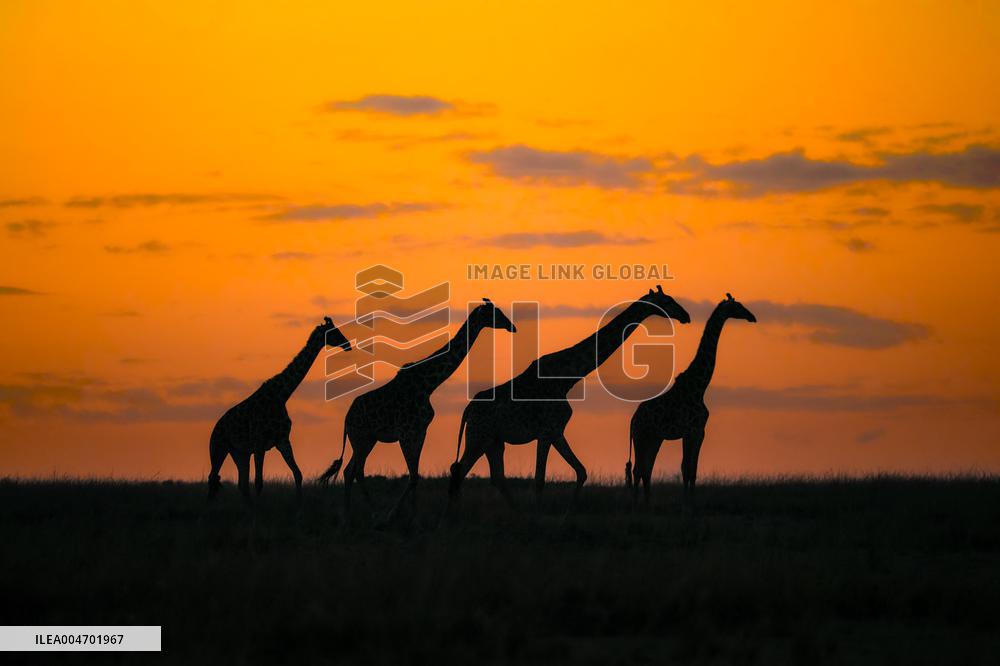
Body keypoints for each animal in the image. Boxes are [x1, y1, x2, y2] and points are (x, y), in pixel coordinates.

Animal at [208, 316, 351, 501]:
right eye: (333, 332)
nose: (348, 345)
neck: (281, 396)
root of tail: (215, 429)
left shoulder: (282, 440)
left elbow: (298, 474)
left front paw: (299, 504)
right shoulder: (259, 443)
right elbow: (259, 482)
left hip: (239, 452)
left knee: (241, 484)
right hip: (219, 447)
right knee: (213, 478)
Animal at [318, 299, 516, 519]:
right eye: (494, 313)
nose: (512, 326)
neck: (428, 385)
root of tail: (346, 418)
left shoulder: (420, 431)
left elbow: (416, 475)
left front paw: (414, 517)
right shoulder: (407, 433)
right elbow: (413, 476)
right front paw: (394, 516)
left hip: (367, 439)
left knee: (350, 470)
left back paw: (352, 515)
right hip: (360, 438)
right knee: (356, 471)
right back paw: (370, 515)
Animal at [448, 286, 691, 507]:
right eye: (667, 301)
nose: (686, 316)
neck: (566, 378)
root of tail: (468, 410)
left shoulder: (556, 431)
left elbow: (581, 471)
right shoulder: (547, 431)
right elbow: (540, 479)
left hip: (494, 441)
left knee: (494, 477)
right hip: (478, 437)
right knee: (460, 471)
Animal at [627, 293, 756, 507]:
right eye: (737, 306)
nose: (752, 317)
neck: (700, 387)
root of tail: (633, 419)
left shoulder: (699, 432)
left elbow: (691, 470)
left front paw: (691, 504)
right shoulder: (691, 431)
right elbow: (686, 469)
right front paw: (686, 506)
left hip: (654, 438)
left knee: (646, 469)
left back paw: (646, 503)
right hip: (641, 436)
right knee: (638, 469)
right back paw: (636, 505)